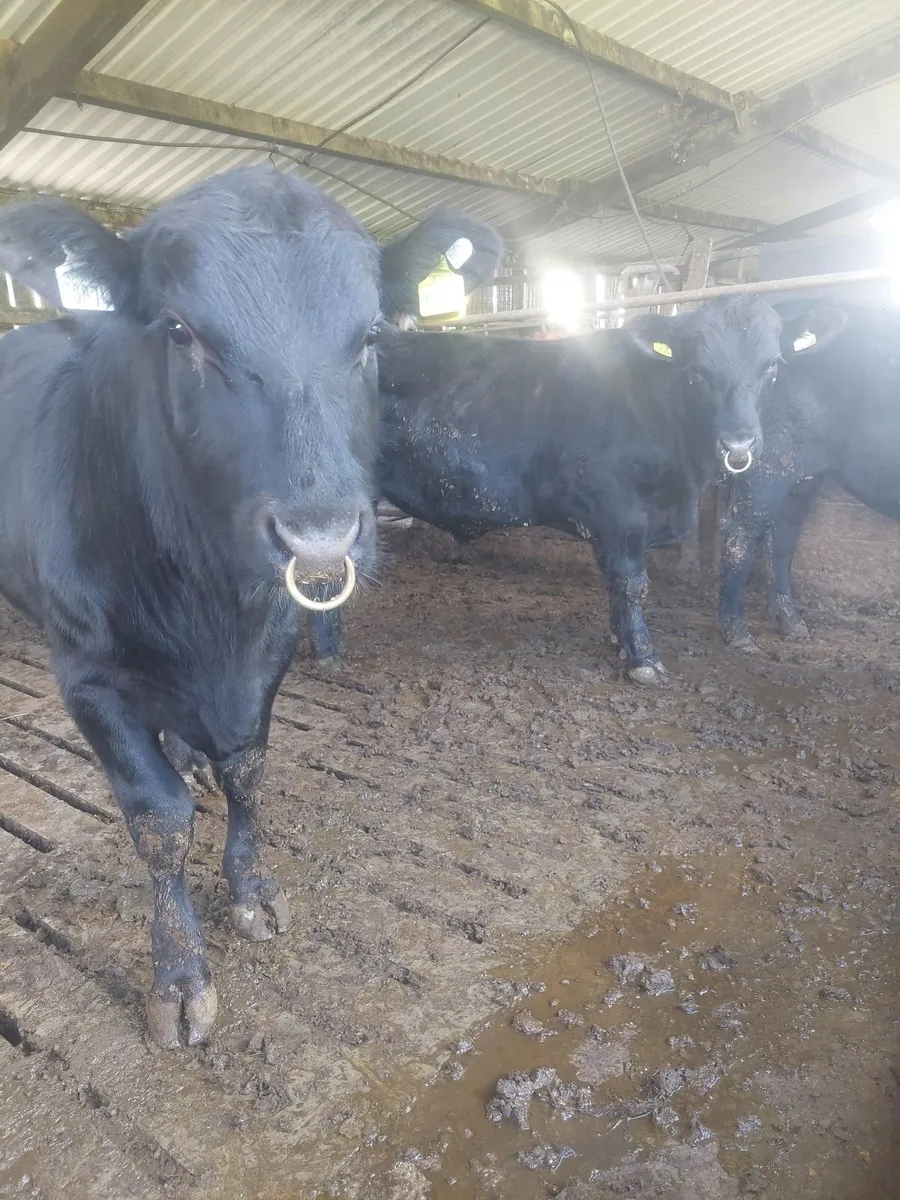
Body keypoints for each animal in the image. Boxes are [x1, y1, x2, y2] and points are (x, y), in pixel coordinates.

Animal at [0, 164, 493, 1048]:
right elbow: (158, 820)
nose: (321, 537)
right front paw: (179, 974)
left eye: (371, 335)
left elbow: (248, 770)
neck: (205, 607)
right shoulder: (86, 675)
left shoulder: (270, 644)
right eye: (180, 330)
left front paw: (253, 888)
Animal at [308, 295, 784, 682]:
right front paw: (644, 659)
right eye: (697, 371)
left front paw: (620, 643)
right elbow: (632, 583)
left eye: (772, 367)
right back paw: (327, 653)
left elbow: (617, 587)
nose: (738, 445)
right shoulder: (621, 512)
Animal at [717, 301, 893, 650]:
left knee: (782, 533)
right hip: (768, 459)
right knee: (741, 531)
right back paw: (739, 633)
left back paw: (792, 623)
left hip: (802, 470)